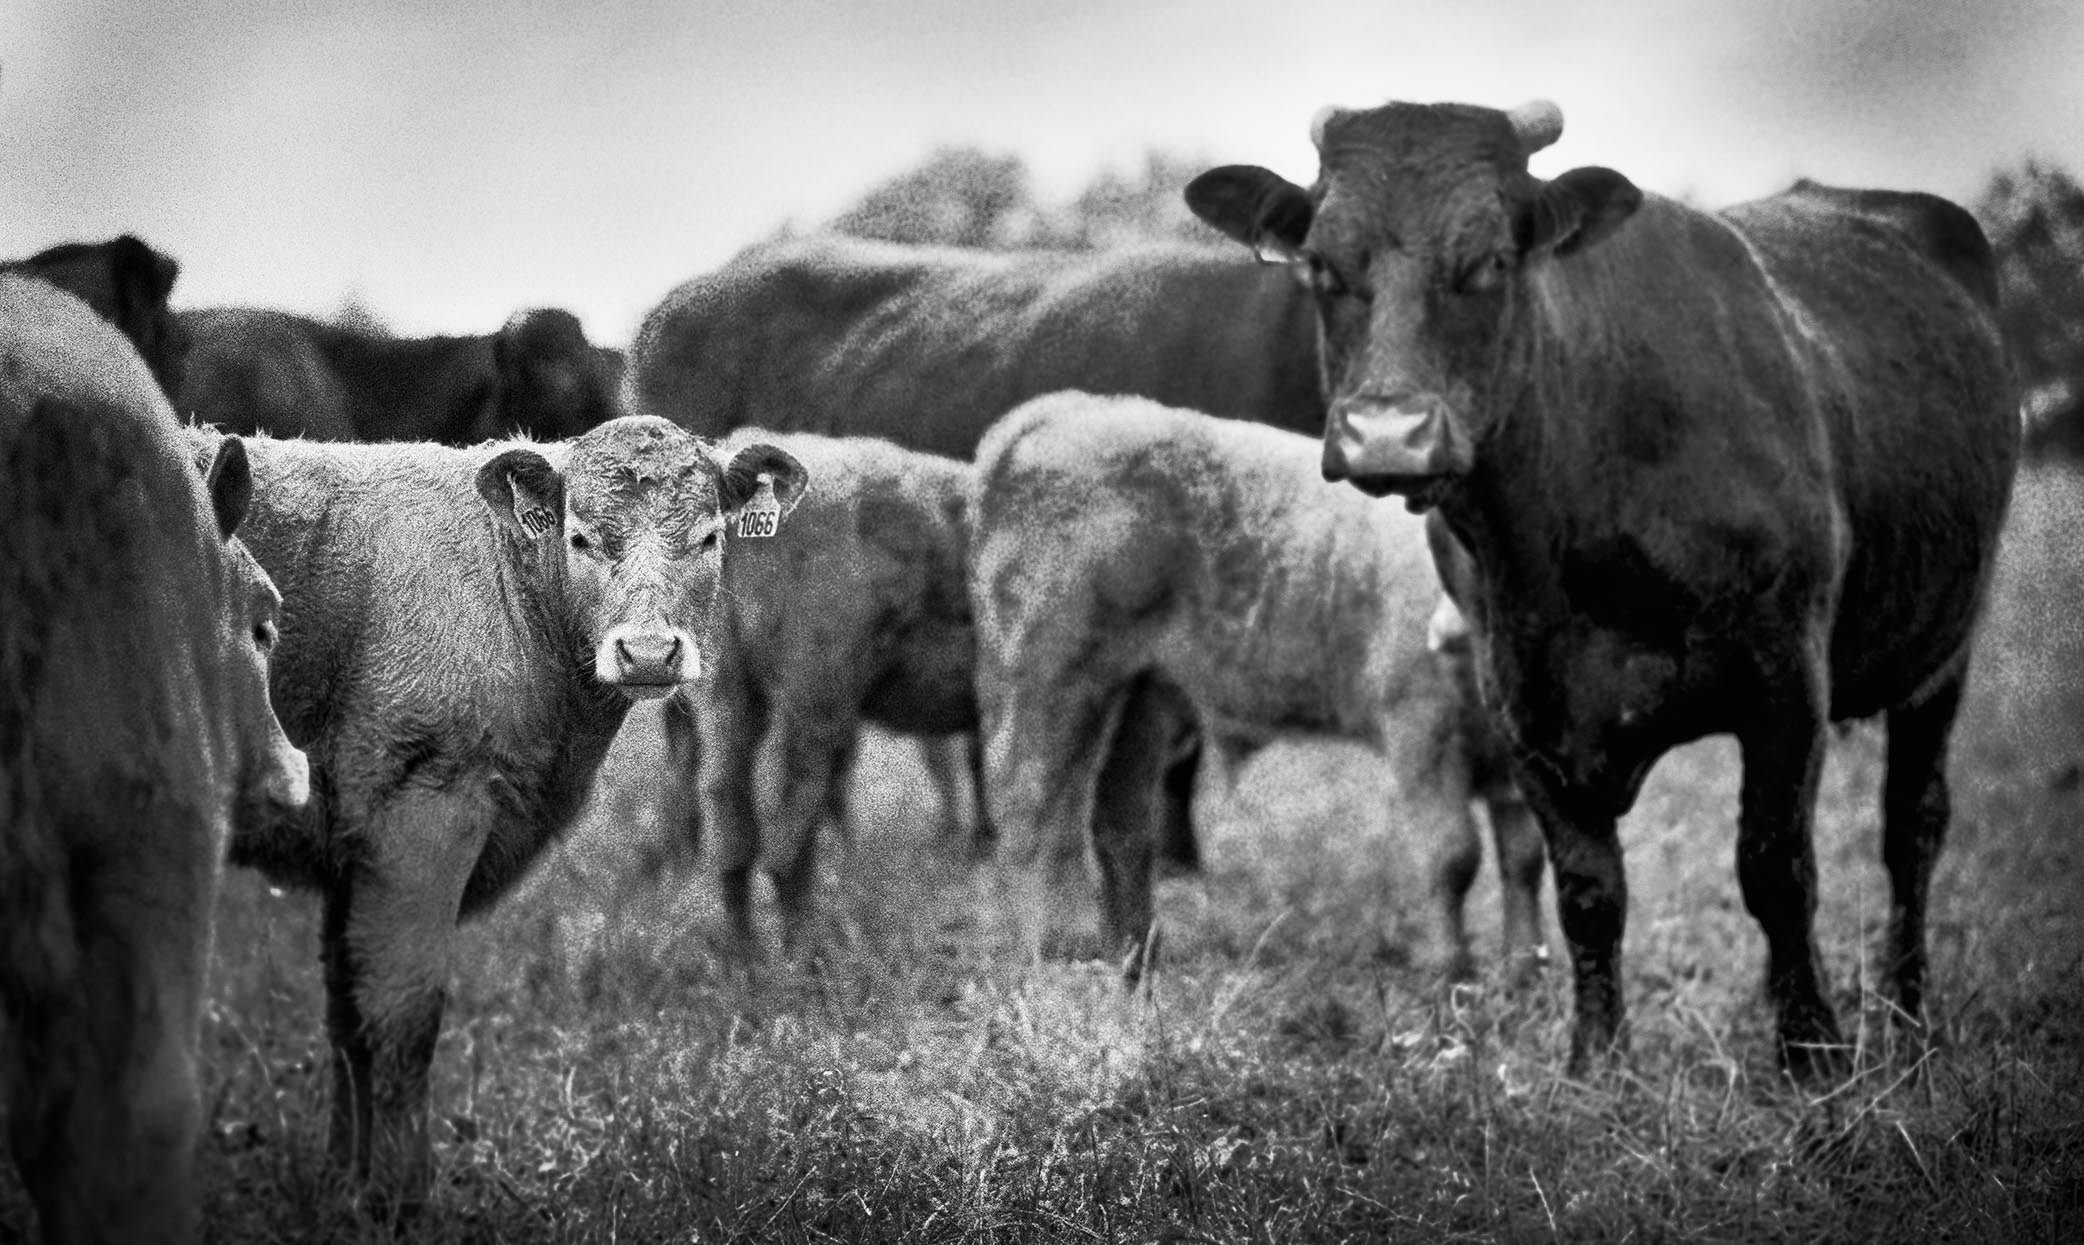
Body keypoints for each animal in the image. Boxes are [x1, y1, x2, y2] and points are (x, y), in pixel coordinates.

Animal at [179, 416, 809, 1218]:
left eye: (708, 536)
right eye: (579, 537)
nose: (647, 652)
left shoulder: (352, 845)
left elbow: (348, 1014)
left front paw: (345, 1185)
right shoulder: (420, 818)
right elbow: (401, 1015)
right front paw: (400, 1197)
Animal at [653, 430, 976, 946]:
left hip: (727, 687)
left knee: (727, 808)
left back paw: (745, 956)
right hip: (816, 691)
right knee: (792, 819)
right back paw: (809, 949)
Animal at [969, 392, 1546, 981]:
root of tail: (1067, 409)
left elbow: (1523, 857)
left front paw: (1527, 965)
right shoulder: (1423, 730)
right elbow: (1453, 853)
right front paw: (1450, 967)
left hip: (1145, 693)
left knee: (1120, 818)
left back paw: (1137, 952)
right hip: (1053, 674)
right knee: (1031, 804)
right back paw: (1053, 954)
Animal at [1186, 98, 2017, 1076]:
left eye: (1490, 262)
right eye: (1321, 265)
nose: (1387, 434)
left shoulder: (1788, 678)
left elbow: (1776, 866)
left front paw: (1810, 1044)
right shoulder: (1521, 701)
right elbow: (1588, 891)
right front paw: (1596, 1056)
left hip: (1944, 650)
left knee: (1912, 826)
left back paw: (1907, 1006)